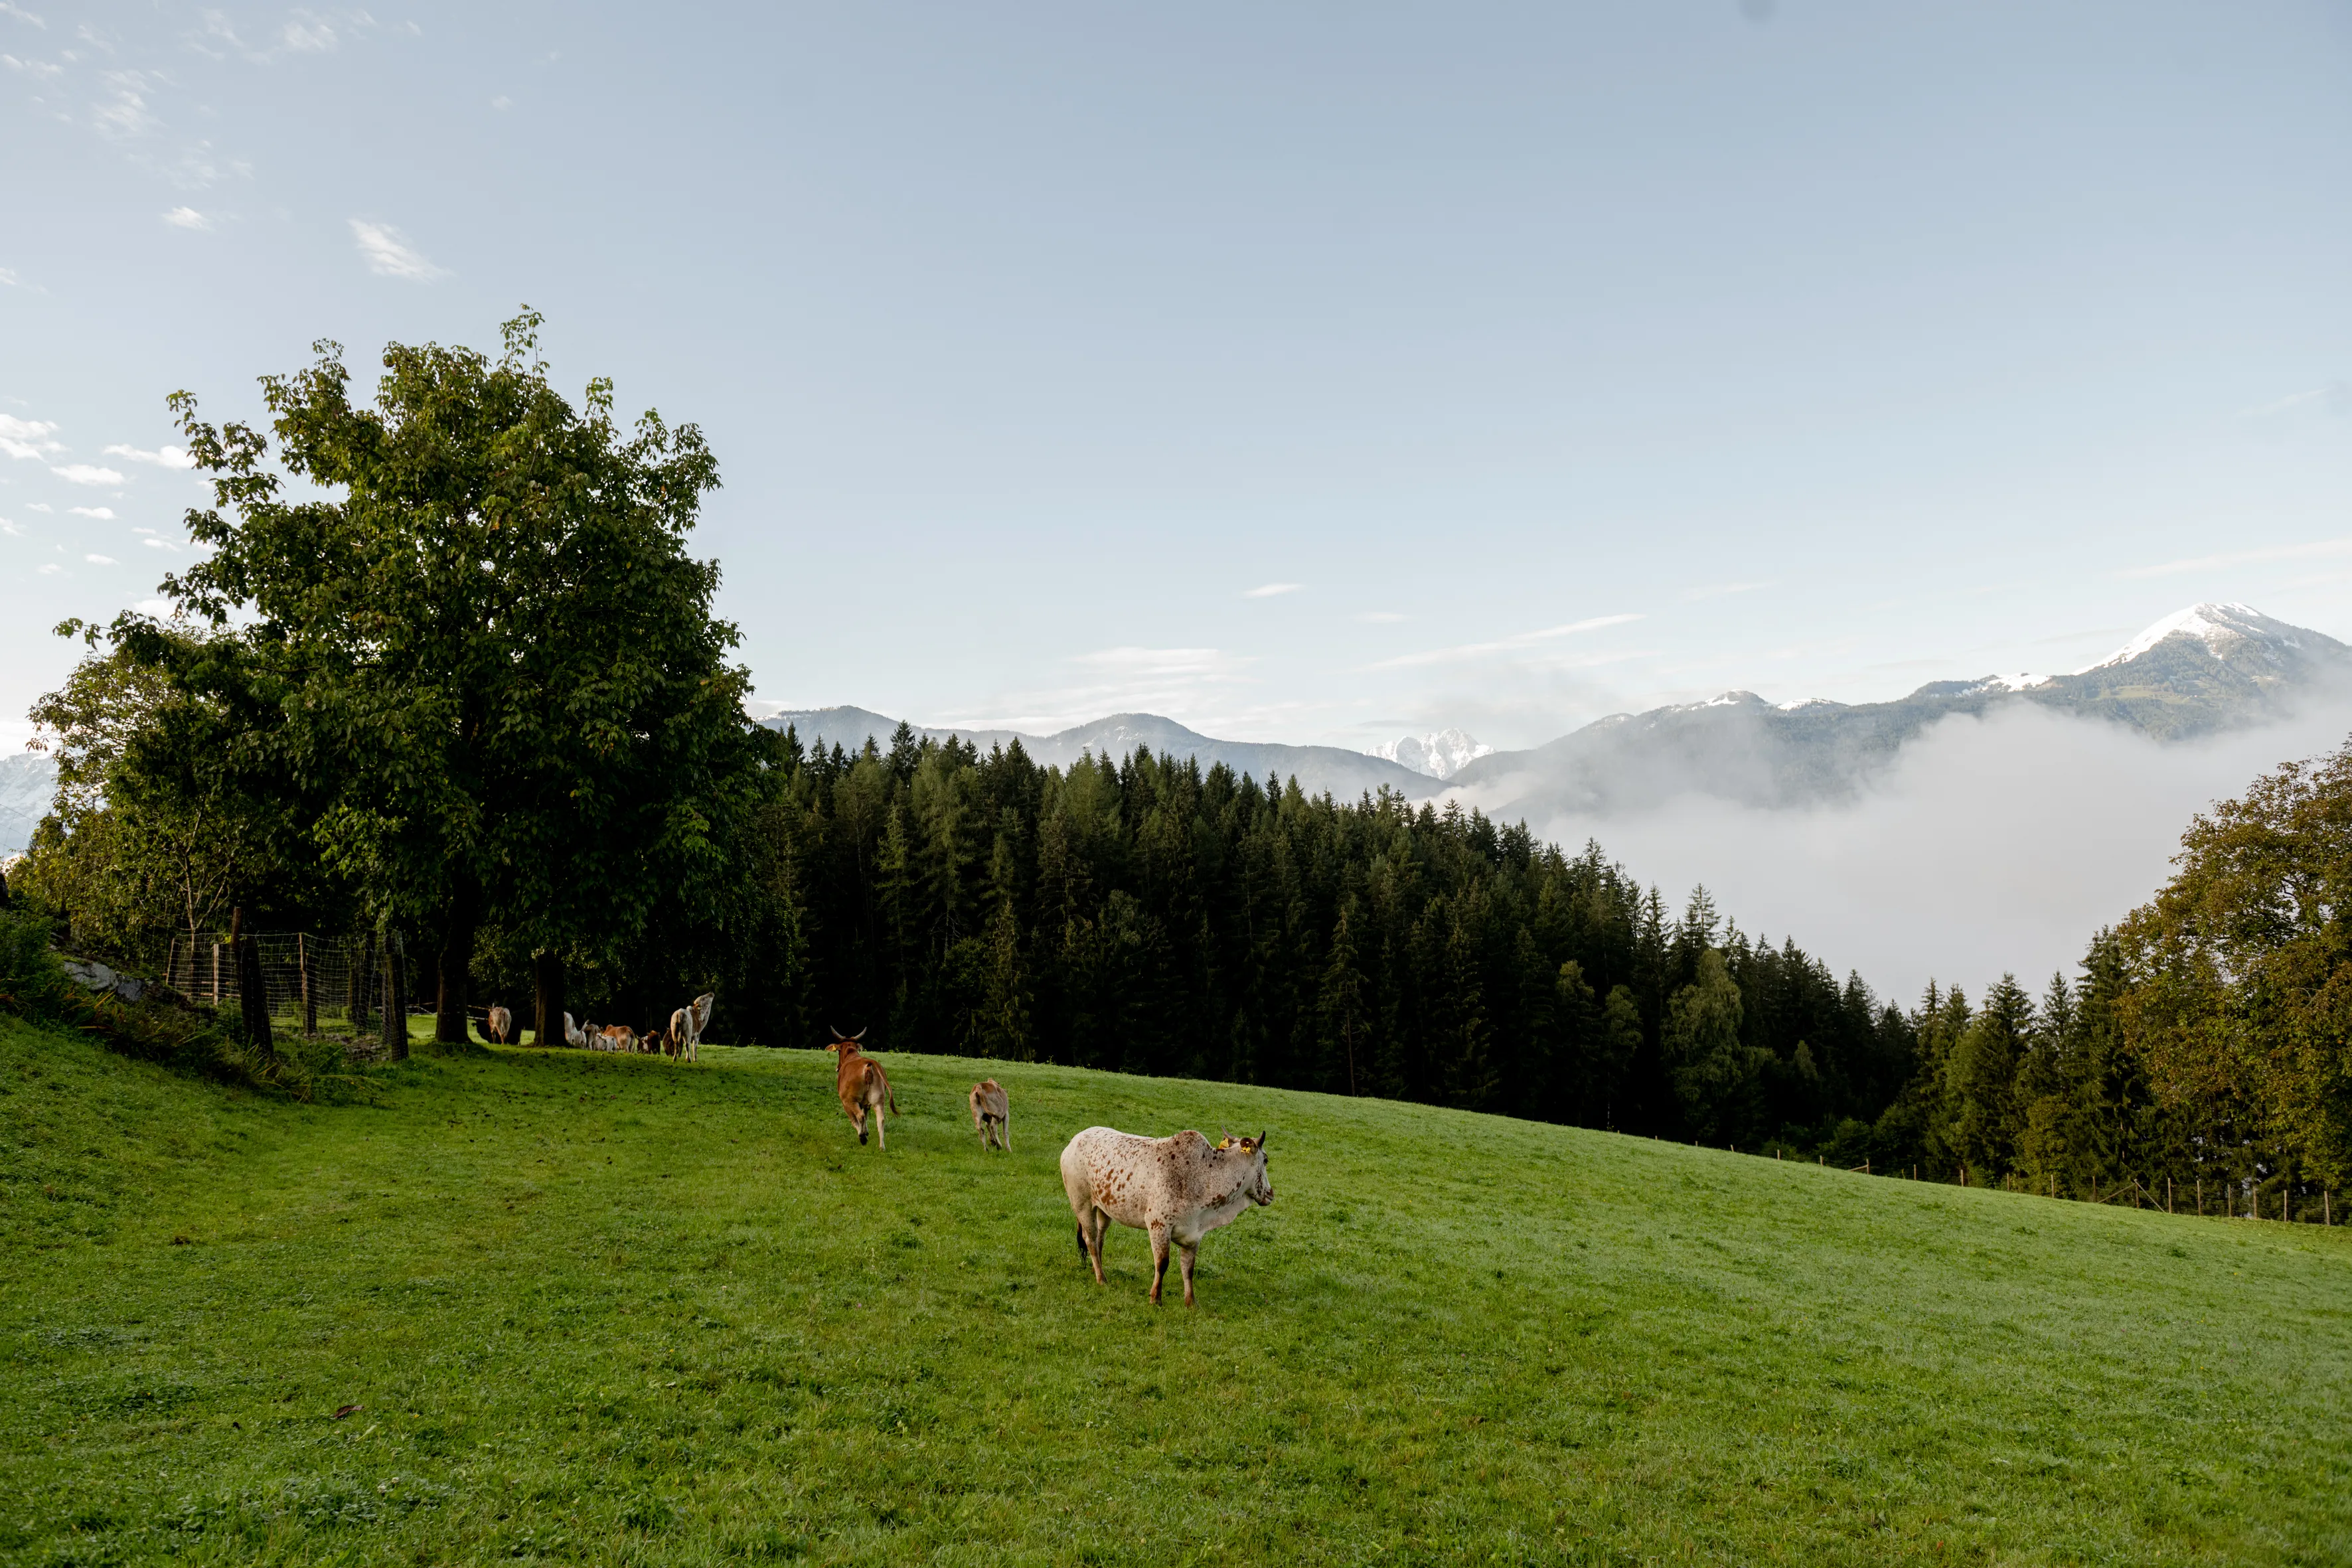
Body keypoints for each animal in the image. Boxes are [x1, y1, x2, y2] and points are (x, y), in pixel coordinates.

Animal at [824, 1027, 896, 1148]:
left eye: (838, 1051)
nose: (837, 1068)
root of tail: (868, 1065)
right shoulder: (866, 1103)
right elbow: (866, 1115)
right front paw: (866, 1131)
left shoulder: (846, 1103)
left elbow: (856, 1120)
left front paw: (863, 1134)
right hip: (878, 1100)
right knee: (880, 1119)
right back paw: (882, 1147)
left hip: (850, 1101)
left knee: (859, 1116)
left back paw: (862, 1138)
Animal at [1059, 1126, 1273, 1307]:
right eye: (1266, 1160)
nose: (1271, 1194)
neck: (1204, 1176)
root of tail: (1074, 1140)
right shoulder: (1158, 1226)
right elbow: (1162, 1264)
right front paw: (1156, 1298)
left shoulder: (1193, 1235)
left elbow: (1188, 1269)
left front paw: (1191, 1302)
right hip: (1082, 1204)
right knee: (1090, 1240)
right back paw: (1101, 1279)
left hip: (1104, 1209)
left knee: (1100, 1238)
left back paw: (1098, 1270)